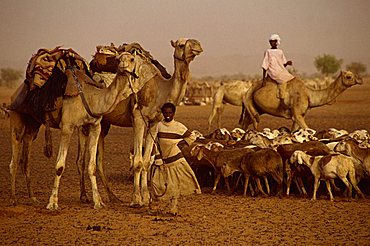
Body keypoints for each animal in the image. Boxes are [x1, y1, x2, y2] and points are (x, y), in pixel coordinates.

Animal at [9, 49, 152, 209]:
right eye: (118, 59)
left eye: (132, 59)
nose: (123, 66)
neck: (92, 98)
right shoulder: (67, 127)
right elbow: (59, 166)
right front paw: (52, 203)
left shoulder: (95, 126)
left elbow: (92, 165)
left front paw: (98, 201)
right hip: (16, 116)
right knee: (14, 158)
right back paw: (13, 199)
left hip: (33, 124)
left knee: (26, 157)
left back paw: (32, 198)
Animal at [80, 38, 202, 208]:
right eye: (181, 45)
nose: (198, 45)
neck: (160, 90)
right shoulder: (138, 118)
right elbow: (137, 161)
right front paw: (136, 199)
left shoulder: (154, 122)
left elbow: (146, 161)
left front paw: (146, 197)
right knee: (81, 160)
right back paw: (85, 197)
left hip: (104, 123)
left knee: (99, 159)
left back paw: (111, 197)